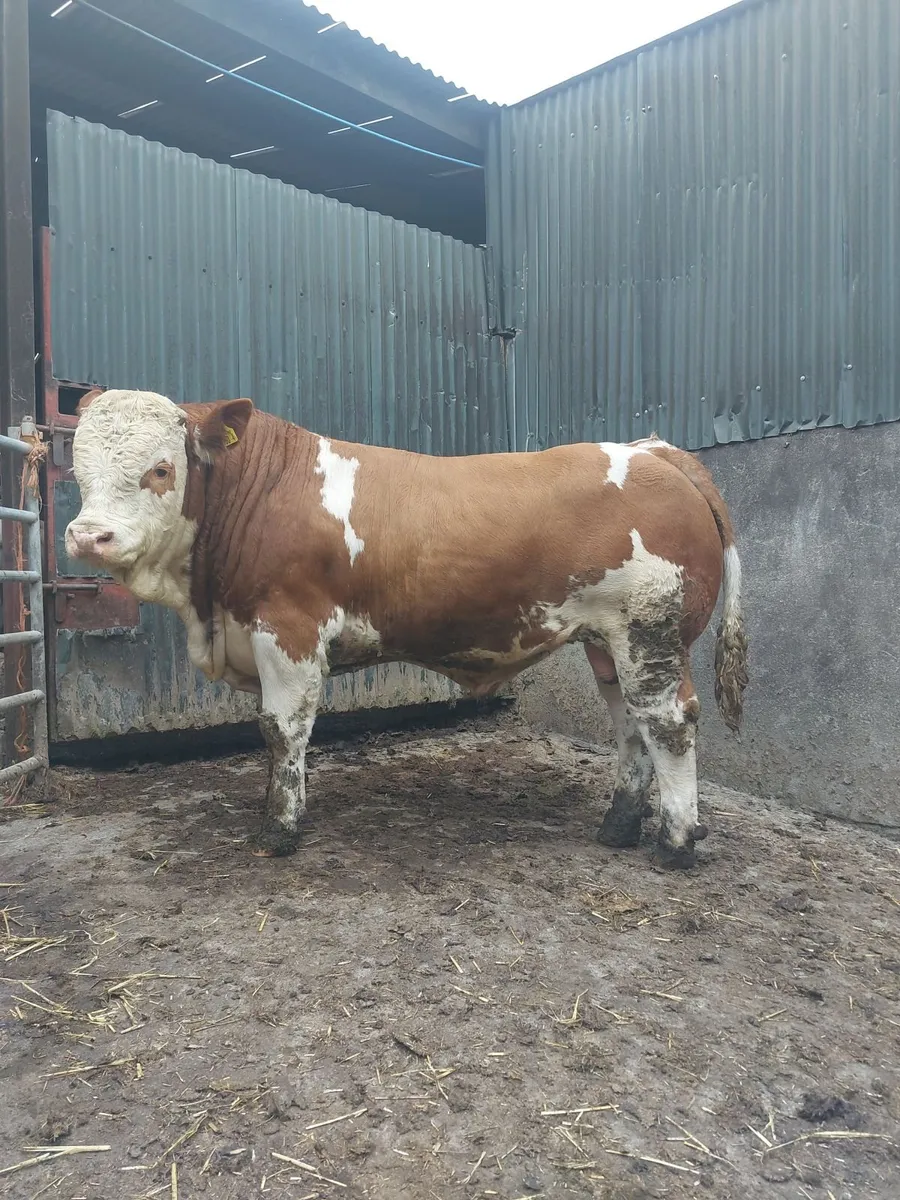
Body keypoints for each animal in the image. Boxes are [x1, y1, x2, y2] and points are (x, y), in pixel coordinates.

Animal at [65, 390, 748, 868]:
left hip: (651, 634)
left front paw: (278, 829)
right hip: (609, 642)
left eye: (159, 469)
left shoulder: (288, 630)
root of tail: (653, 450)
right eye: (77, 470)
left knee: (668, 723)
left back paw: (677, 843)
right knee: (629, 723)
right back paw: (618, 827)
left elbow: (281, 730)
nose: (88, 536)